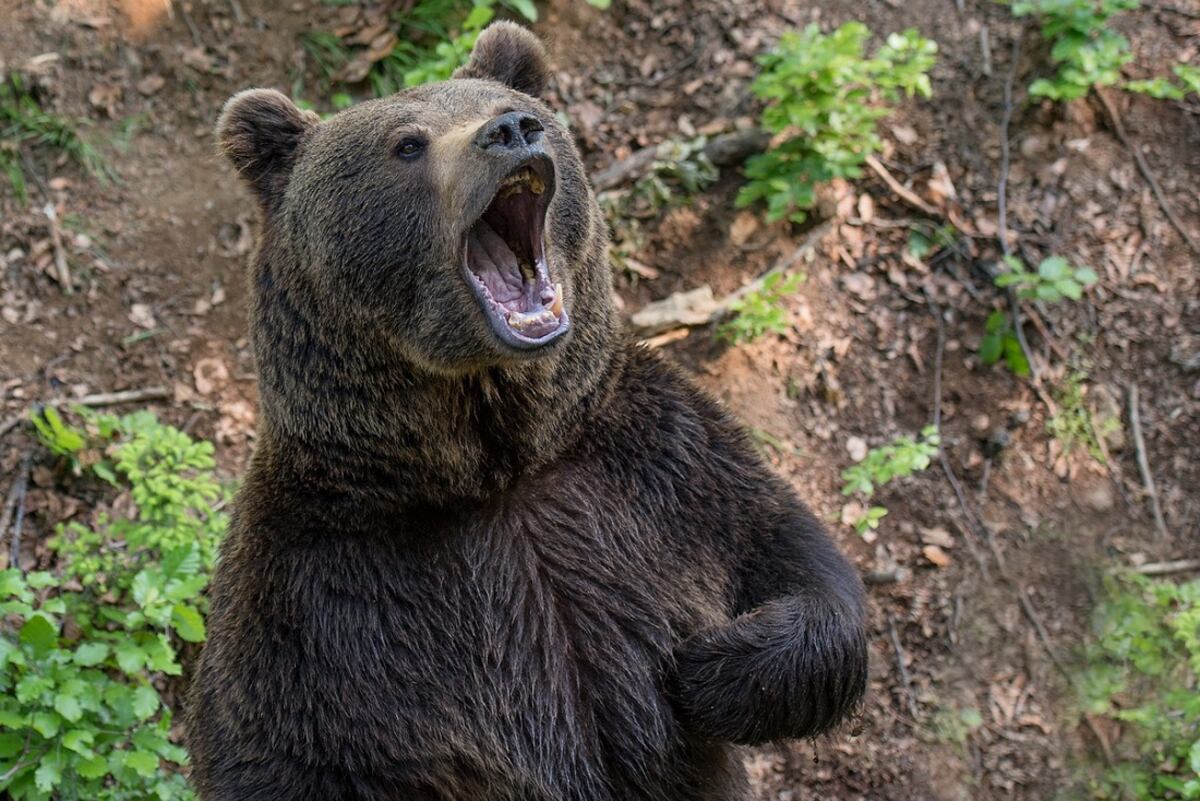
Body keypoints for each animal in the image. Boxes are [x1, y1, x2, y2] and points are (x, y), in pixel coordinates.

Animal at [186, 21, 868, 801]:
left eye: (506, 105)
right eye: (407, 143)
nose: (512, 130)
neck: (497, 464)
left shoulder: (660, 468)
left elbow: (793, 556)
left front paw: (709, 670)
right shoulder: (319, 602)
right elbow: (278, 752)